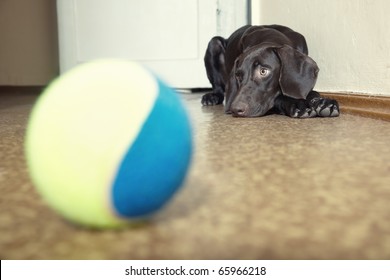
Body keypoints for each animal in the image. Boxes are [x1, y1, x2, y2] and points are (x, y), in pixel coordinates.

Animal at [201, 24, 338, 118]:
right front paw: (298, 104)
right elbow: (279, 99)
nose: (235, 109)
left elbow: (311, 93)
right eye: (238, 76)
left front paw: (323, 102)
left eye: (263, 71)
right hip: (214, 43)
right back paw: (211, 97)